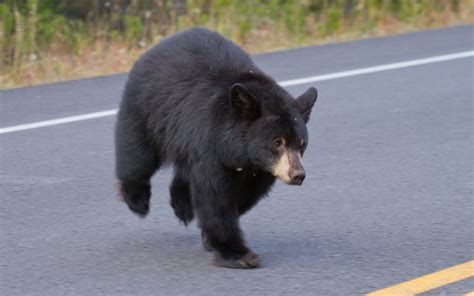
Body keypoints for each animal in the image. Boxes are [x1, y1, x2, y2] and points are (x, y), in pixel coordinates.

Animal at [115, 27, 318, 268]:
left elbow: (244, 195)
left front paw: (210, 237)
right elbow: (214, 196)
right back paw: (137, 200)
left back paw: (182, 205)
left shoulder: (259, 169)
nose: (297, 174)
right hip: (147, 110)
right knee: (137, 156)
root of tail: (158, 45)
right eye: (277, 142)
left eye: (302, 144)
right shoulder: (209, 146)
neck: (239, 152)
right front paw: (238, 254)